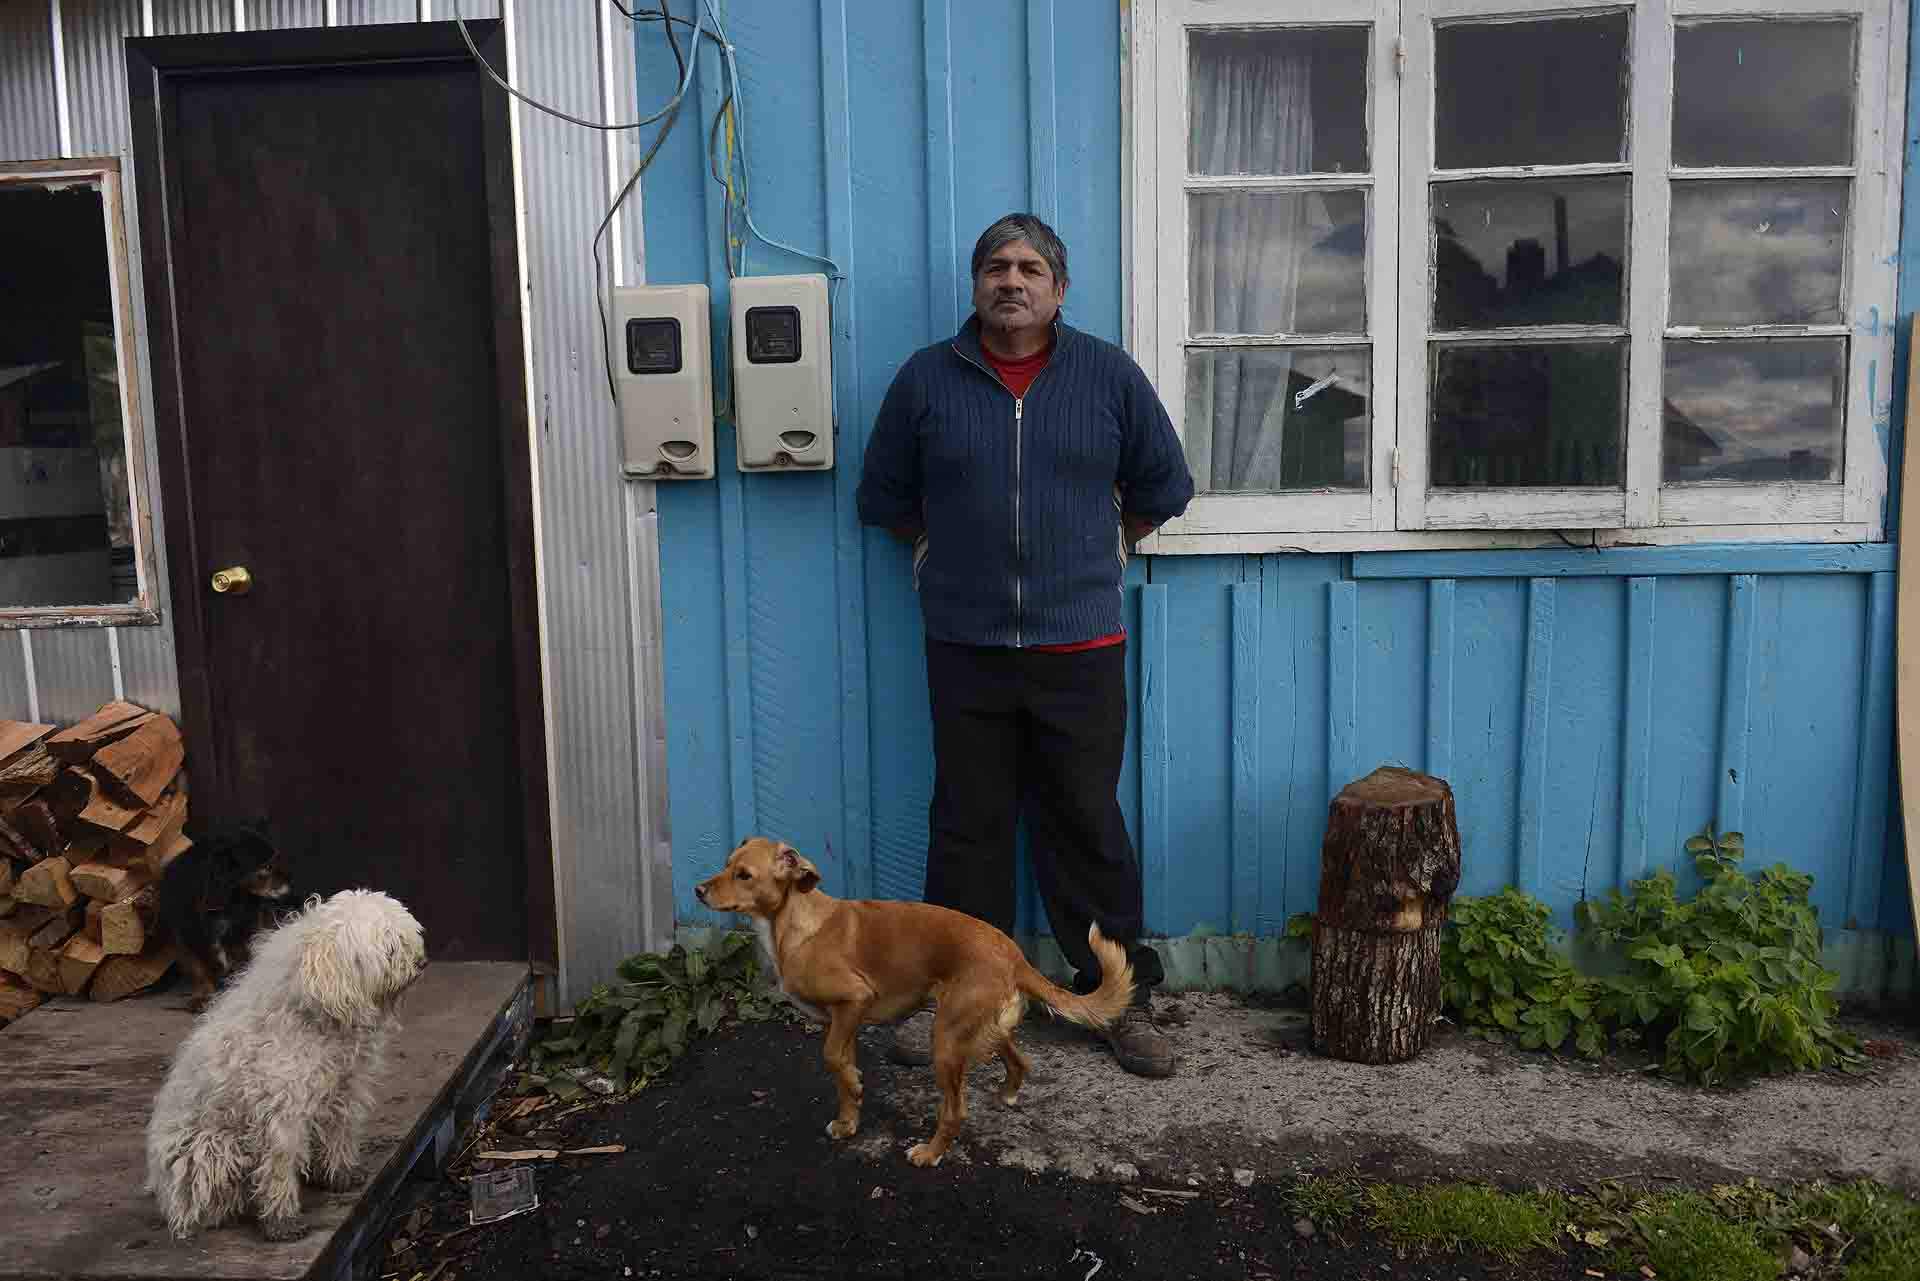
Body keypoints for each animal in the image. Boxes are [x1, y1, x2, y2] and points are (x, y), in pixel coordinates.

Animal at [144, 887, 428, 1236]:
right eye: (389, 946)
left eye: (407, 938)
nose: (422, 962)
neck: (315, 1013)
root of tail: (162, 1188)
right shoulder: (282, 1112)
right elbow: (279, 1167)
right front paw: (281, 1220)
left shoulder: (344, 1090)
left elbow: (340, 1133)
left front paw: (340, 1175)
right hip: (211, 1148)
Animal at [157, 821, 293, 1014]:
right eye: (266, 867)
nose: (290, 887)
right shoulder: (187, 936)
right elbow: (200, 970)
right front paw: (203, 996)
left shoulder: (242, 931)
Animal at [698, 837, 1128, 1167]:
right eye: (725, 865)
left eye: (743, 875)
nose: (698, 891)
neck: (795, 921)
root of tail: (1015, 955)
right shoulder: (841, 1020)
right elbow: (840, 1070)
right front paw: (848, 1118)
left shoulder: (854, 1001)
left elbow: (832, 1058)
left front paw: (854, 1086)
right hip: (980, 1028)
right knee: (1019, 1059)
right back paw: (1007, 1093)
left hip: (946, 1040)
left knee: (954, 1110)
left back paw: (930, 1153)